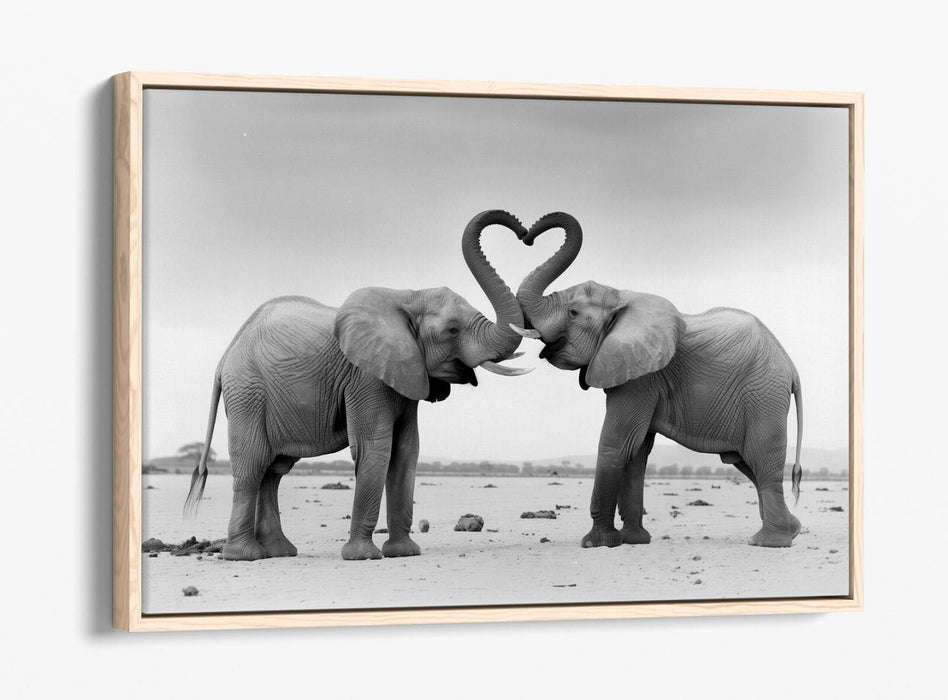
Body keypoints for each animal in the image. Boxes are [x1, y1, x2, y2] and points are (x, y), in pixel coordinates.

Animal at [184, 210, 532, 561]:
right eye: (452, 330)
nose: (523, 232)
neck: (408, 295)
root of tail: (226, 354)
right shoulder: (366, 377)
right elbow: (375, 447)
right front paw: (364, 556)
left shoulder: (406, 373)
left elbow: (406, 451)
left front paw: (404, 553)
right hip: (248, 391)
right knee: (252, 465)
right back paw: (244, 556)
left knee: (274, 470)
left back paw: (279, 552)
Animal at [508, 212, 804, 548]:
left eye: (572, 313)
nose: (527, 234)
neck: (621, 297)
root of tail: (791, 366)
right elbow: (636, 452)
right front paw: (634, 540)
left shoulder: (641, 378)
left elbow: (616, 444)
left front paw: (598, 543)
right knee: (745, 463)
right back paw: (792, 530)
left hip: (763, 394)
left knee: (761, 461)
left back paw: (768, 542)